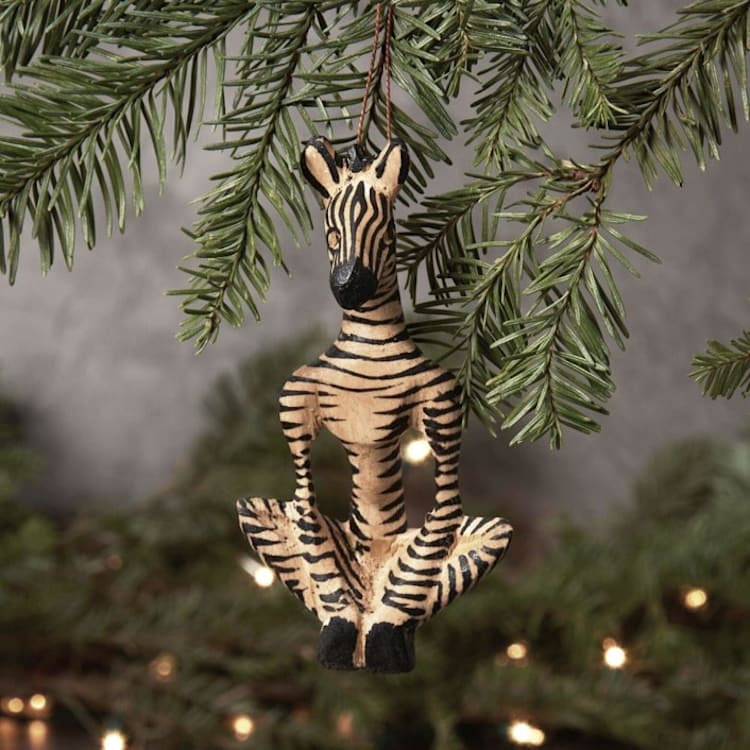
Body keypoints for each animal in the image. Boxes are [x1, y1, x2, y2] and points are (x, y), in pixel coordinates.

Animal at [237, 136, 512, 673]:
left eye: (385, 237)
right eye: (329, 234)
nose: (350, 287)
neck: (370, 341)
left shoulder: (441, 402)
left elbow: (437, 526)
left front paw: (386, 638)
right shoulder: (294, 400)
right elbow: (307, 512)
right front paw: (339, 637)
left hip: (488, 533)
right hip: (255, 512)